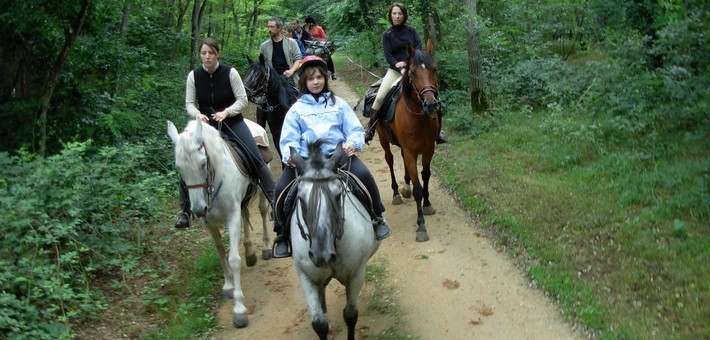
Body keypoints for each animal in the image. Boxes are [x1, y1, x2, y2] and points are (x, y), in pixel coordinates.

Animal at [167, 119, 272, 326]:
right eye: (179, 168)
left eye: (203, 163)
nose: (198, 209)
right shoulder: (210, 223)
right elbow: (221, 252)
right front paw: (228, 286)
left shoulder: (231, 216)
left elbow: (233, 259)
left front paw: (239, 309)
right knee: (246, 216)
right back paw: (250, 252)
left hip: (261, 192)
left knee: (263, 211)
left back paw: (265, 248)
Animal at [288, 141, 382, 340]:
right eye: (301, 199)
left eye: (338, 195)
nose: (321, 256)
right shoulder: (306, 277)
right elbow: (319, 323)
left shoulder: (356, 274)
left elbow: (351, 315)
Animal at [376, 41, 442, 242]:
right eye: (412, 73)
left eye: (434, 69)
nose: (431, 105)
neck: (419, 118)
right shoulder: (411, 152)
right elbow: (418, 188)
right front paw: (421, 226)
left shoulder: (428, 149)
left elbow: (426, 176)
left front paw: (427, 204)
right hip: (383, 140)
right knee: (390, 160)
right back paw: (397, 192)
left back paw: (405, 187)